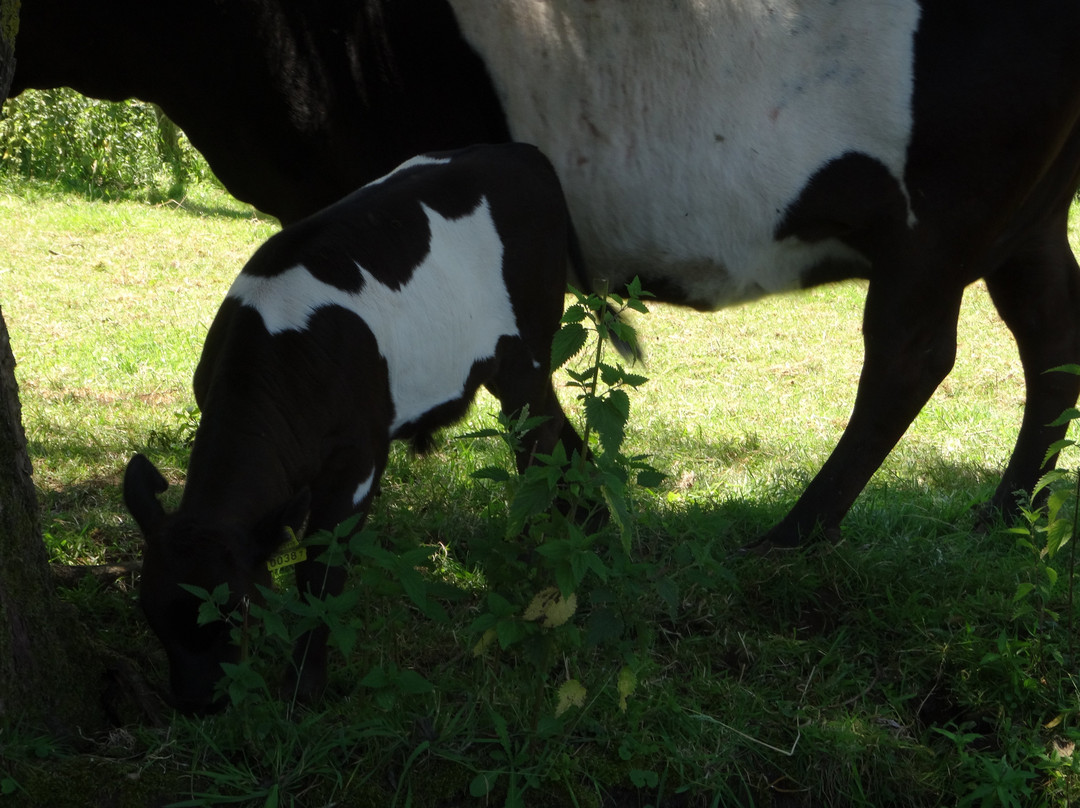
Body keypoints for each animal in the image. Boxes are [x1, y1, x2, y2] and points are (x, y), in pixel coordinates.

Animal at [12, 1, 1080, 548]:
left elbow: (510, 368)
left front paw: (573, 509)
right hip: (1028, 207)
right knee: (1051, 337)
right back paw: (1005, 511)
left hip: (950, 201)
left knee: (909, 357)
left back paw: (796, 532)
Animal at [122, 144, 587, 712]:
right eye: (150, 615)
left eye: (236, 612)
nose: (197, 703)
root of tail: (522, 151)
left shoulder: (358, 459)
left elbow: (320, 573)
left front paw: (302, 688)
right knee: (561, 432)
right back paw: (588, 525)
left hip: (527, 353)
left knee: (537, 442)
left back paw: (541, 558)